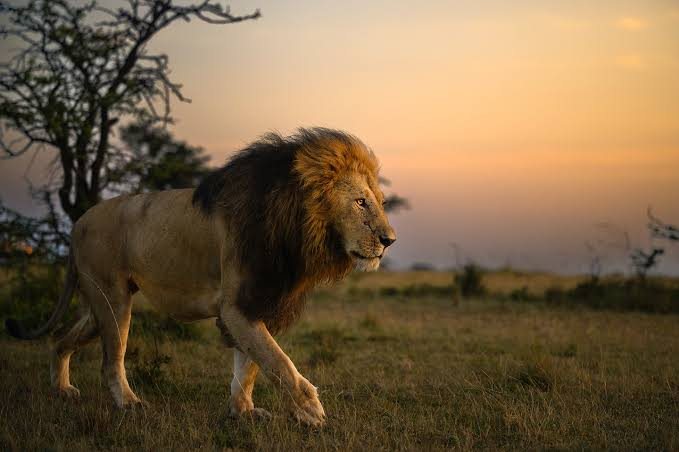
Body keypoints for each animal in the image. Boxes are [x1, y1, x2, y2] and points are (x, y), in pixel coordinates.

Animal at [6, 128, 396, 426]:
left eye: (380, 201)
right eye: (361, 202)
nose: (389, 240)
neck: (296, 229)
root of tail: (77, 223)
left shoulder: (259, 301)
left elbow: (249, 365)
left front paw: (243, 412)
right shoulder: (236, 306)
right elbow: (275, 359)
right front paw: (310, 410)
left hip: (96, 307)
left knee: (60, 339)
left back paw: (61, 389)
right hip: (112, 300)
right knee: (110, 361)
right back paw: (129, 403)